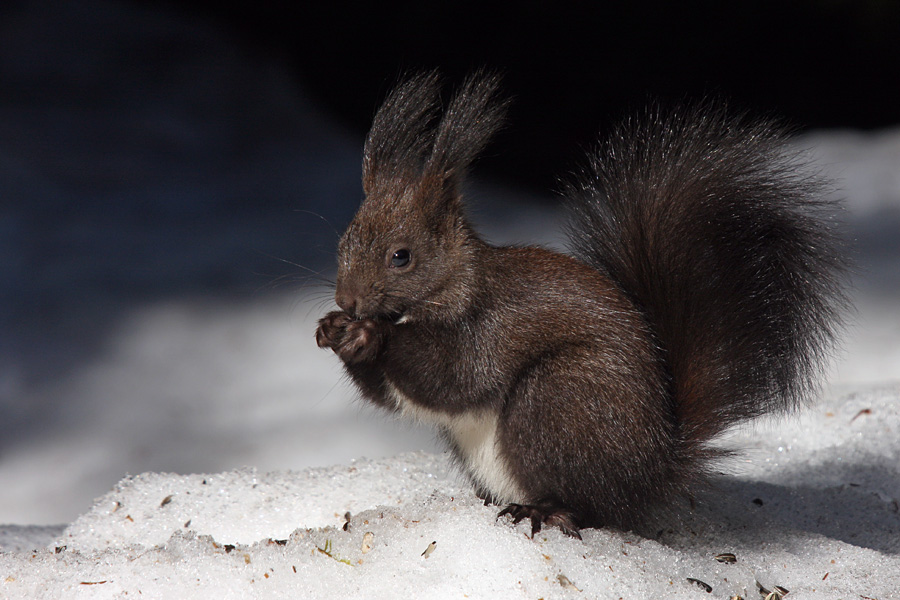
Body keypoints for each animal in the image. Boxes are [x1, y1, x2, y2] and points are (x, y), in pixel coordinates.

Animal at [314, 71, 844, 540]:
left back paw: (545, 511)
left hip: (559, 399)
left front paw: (370, 333)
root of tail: (654, 468)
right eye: (342, 242)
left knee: (591, 506)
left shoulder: (488, 326)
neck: (453, 284)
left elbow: (454, 374)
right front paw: (332, 329)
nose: (347, 300)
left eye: (401, 256)